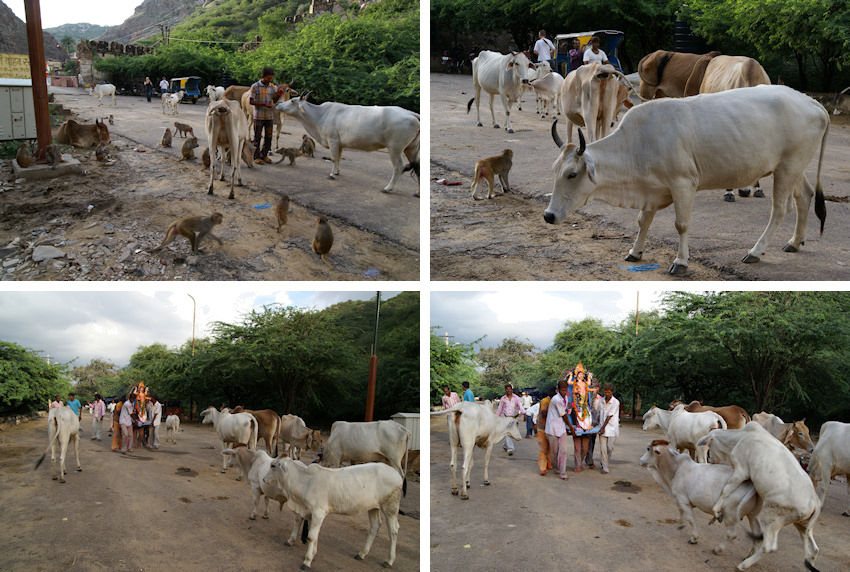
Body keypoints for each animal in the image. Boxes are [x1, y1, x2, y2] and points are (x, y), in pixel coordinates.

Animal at [274, 95, 420, 196]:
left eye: (293, 100)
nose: (278, 103)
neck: (321, 115)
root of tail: (409, 113)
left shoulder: (332, 140)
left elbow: (333, 158)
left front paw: (332, 174)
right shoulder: (339, 144)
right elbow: (338, 158)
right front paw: (337, 172)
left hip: (395, 148)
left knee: (398, 166)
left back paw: (388, 188)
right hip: (411, 148)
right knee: (418, 168)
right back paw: (417, 193)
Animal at [544, 83, 828, 278]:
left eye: (572, 174)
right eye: (554, 170)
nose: (548, 216)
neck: (639, 142)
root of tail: (810, 101)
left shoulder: (682, 184)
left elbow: (681, 225)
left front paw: (680, 262)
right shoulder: (651, 190)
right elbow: (643, 221)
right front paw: (635, 251)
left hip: (788, 167)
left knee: (780, 209)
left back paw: (755, 251)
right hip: (793, 167)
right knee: (804, 197)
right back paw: (794, 242)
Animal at [696, 422, 820, 568]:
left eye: (710, 447)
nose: (711, 459)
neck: (739, 437)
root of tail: (815, 501)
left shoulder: (741, 471)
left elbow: (726, 489)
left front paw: (716, 511)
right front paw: (715, 517)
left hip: (773, 519)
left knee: (768, 546)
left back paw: (744, 565)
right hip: (802, 524)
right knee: (814, 549)